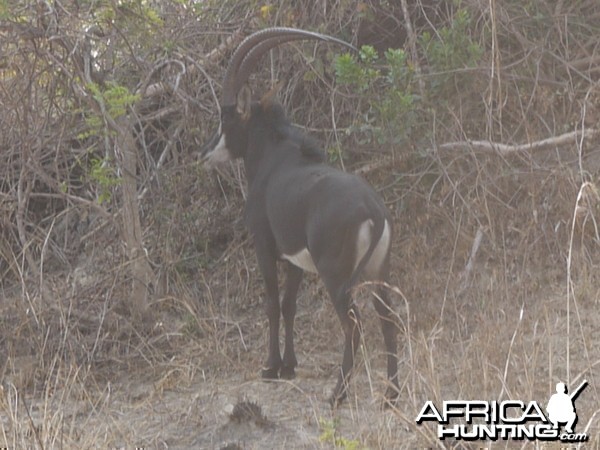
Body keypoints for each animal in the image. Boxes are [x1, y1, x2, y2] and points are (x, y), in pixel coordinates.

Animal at [202, 28, 398, 408]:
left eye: (225, 116)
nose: (206, 154)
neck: (273, 158)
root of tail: (373, 209)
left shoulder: (264, 247)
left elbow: (271, 304)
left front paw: (270, 368)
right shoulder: (295, 260)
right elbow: (290, 304)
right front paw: (289, 366)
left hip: (336, 275)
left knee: (353, 325)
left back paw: (338, 394)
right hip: (378, 270)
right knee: (387, 318)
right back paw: (391, 395)